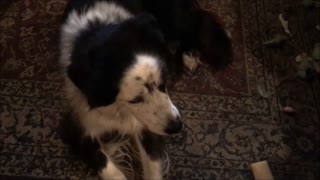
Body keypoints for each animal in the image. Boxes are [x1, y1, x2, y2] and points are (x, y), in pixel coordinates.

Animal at [58, 0, 231, 179]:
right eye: (135, 99)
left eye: (163, 84)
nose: (176, 127)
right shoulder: (76, 124)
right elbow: (106, 165)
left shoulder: (147, 125)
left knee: (195, 23)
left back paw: (190, 55)